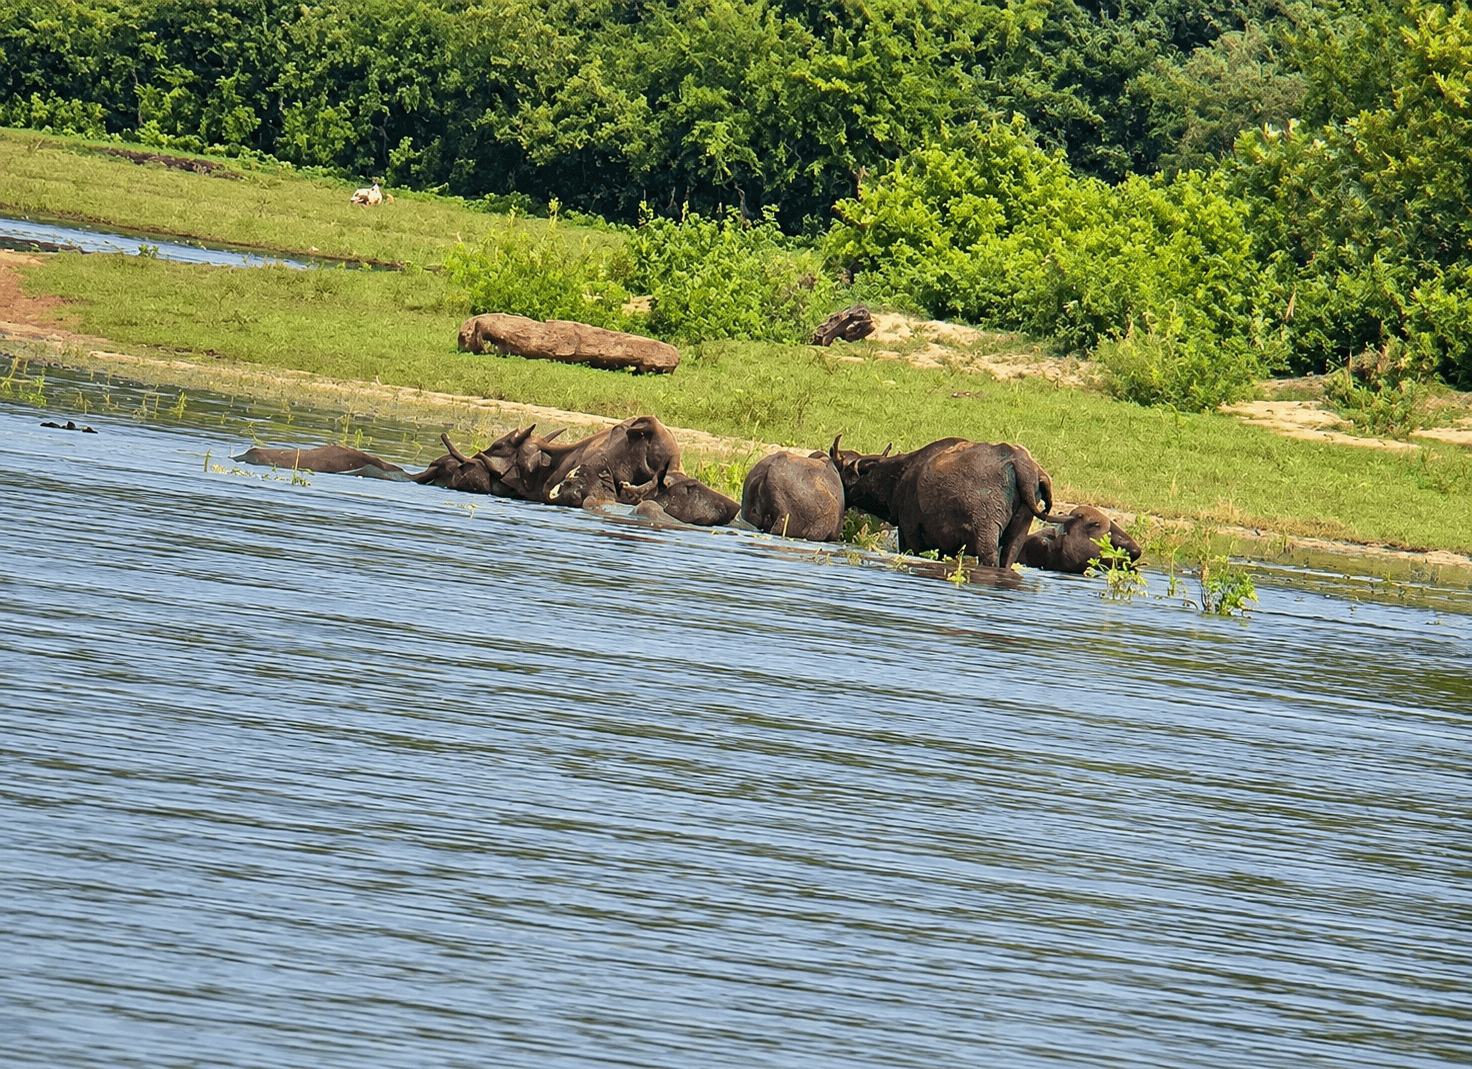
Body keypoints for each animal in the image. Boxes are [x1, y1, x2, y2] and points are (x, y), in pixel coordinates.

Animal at [832, 436, 1052, 567]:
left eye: (841, 474)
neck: (899, 477)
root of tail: (1022, 464)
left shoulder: (909, 532)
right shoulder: (946, 546)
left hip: (987, 534)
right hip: (1018, 534)